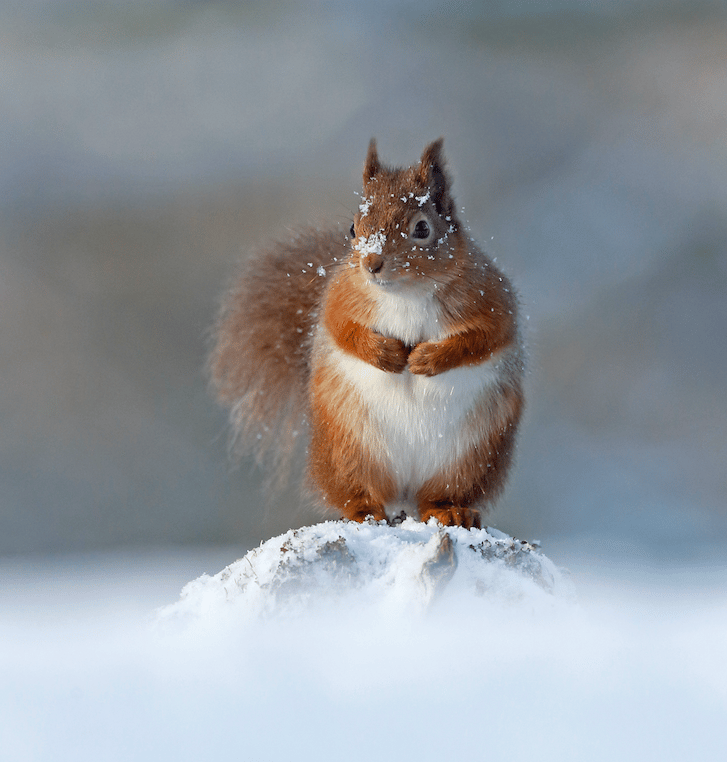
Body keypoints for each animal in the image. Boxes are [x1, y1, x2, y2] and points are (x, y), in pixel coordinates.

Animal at [210, 138, 525, 529]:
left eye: (423, 229)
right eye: (352, 228)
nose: (371, 264)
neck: (405, 294)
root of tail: (404, 493)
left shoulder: (492, 300)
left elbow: (486, 338)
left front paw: (428, 358)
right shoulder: (338, 299)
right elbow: (342, 330)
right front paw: (386, 354)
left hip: (470, 458)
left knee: (439, 495)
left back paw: (450, 511)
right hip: (348, 449)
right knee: (356, 492)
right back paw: (364, 512)